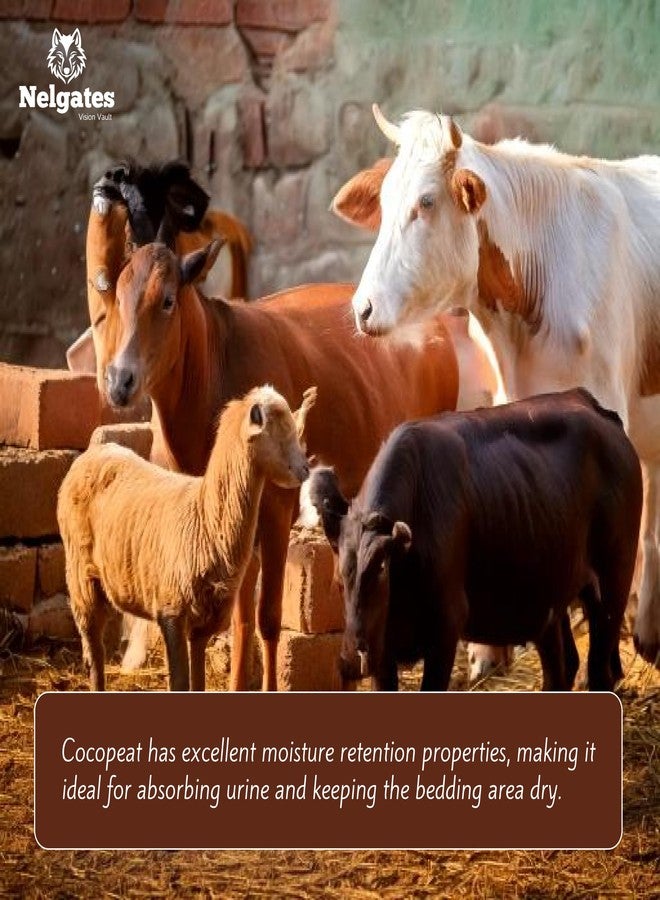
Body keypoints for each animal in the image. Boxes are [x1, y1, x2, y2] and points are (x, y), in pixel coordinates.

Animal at [310, 390, 643, 692]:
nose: (351, 662)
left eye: (379, 572)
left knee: (599, 672)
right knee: (562, 668)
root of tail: (592, 404)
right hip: (549, 597)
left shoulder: (445, 626)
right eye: (339, 582)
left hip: (612, 587)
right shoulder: (383, 651)